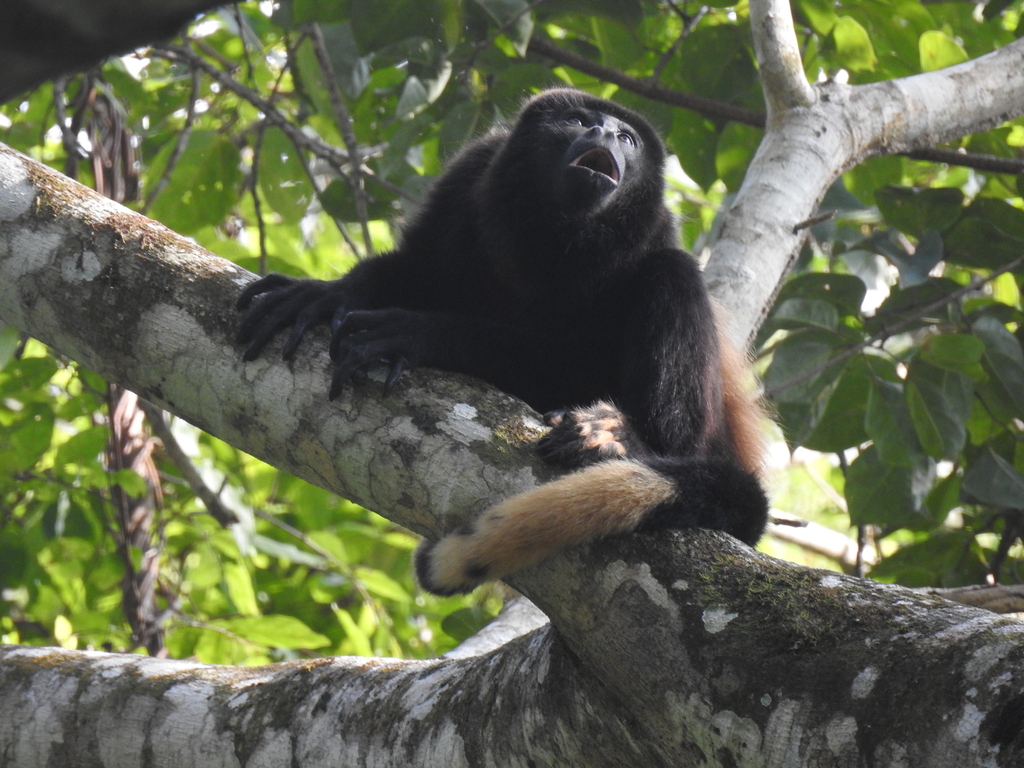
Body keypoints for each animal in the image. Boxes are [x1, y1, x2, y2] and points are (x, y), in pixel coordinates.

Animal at [237, 88, 770, 593]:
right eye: (578, 119)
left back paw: (620, 438)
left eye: (628, 139)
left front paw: (416, 333)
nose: (604, 132)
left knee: (672, 278)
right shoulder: (473, 168)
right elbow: (417, 267)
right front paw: (327, 295)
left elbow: (580, 360)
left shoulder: (655, 229)